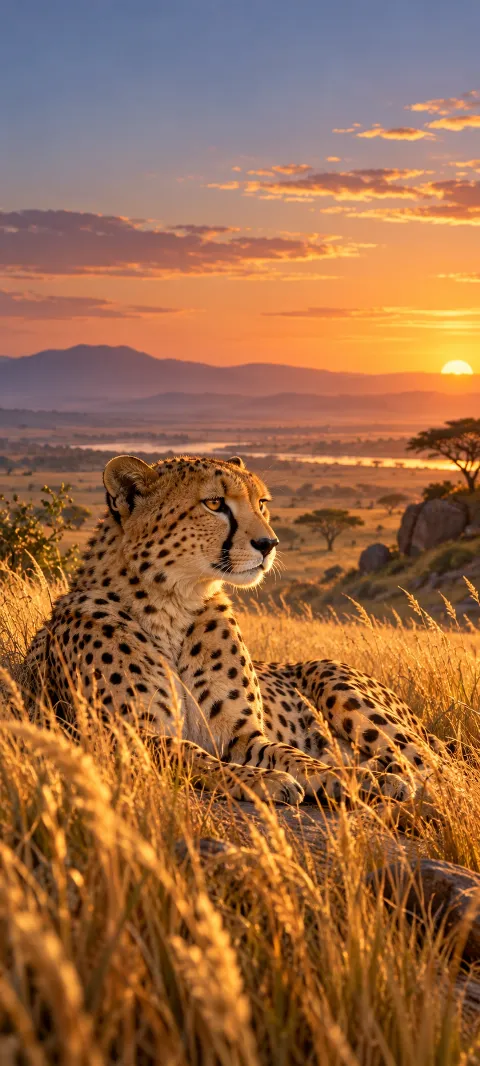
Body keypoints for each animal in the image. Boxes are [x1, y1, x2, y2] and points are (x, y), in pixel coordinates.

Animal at [23, 452, 444, 811]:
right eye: (214, 504)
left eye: (262, 503)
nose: (269, 543)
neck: (173, 604)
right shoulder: (125, 739)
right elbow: (197, 756)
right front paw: (263, 780)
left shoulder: (243, 736)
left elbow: (293, 755)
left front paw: (357, 778)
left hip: (330, 675)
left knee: (436, 766)